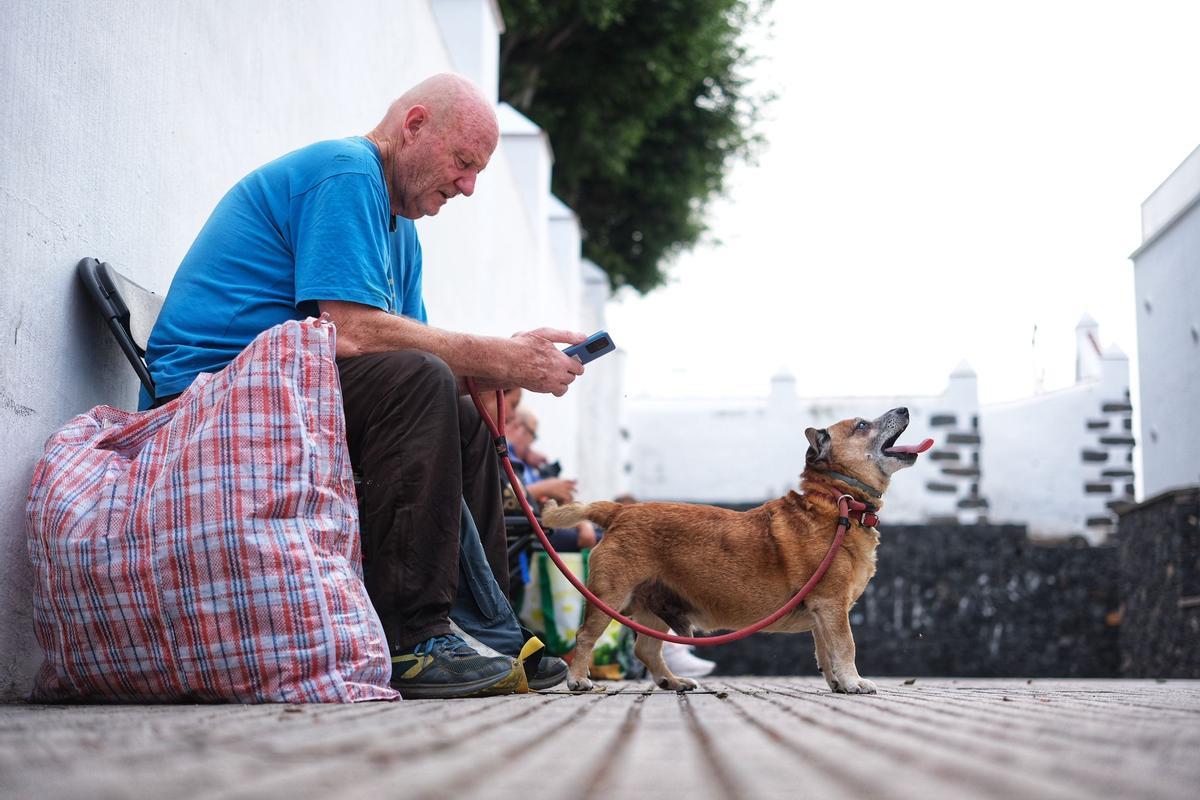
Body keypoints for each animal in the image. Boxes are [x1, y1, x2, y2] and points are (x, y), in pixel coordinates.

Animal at [540, 410, 931, 690]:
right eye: (863, 425)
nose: (904, 408)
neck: (838, 502)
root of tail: (620, 511)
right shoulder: (832, 605)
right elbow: (845, 646)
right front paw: (853, 681)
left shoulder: (823, 614)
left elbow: (825, 650)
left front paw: (837, 682)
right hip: (608, 598)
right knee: (585, 637)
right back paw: (578, 679)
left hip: (653, 607)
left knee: (644, 648)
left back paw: (671, 681)